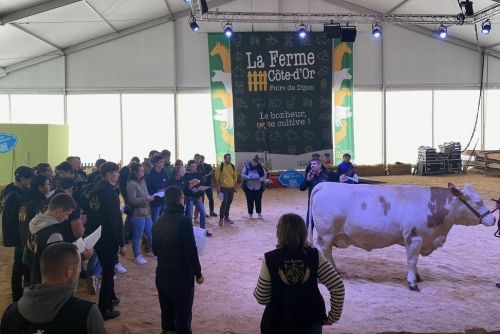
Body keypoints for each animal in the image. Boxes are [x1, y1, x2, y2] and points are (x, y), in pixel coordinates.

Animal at [308, 183, 496, 290]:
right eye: (478, 202)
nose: (494, 219)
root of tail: (325, 185)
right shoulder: (414, 237)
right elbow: (412, 260)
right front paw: (412, 283)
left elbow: (415, 261)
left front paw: (417, 277)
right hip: (326, 233)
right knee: (322, 249)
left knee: (328, 251)